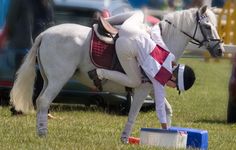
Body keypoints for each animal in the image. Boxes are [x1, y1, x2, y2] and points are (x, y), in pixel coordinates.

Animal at [9, 5, 223, 136]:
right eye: (207, 26)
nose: (220, 50)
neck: (161, 43)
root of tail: (45, 34)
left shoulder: (152, 88)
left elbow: (167, 109)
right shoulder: (142, 88)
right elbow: (135, 113)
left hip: (48, 79)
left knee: (40, 101)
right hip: (58, 80)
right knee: (44, 101)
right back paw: (42, 134)